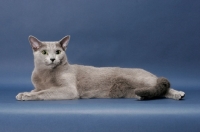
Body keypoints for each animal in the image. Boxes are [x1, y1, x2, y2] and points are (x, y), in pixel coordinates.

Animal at [15, 35, 184, 100]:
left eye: (58, 52)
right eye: (44, 52)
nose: (52, 58)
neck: (45, 74)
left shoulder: (68, 89)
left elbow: (44, 92)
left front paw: (26, 95)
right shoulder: (38, 85)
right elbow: (37, 90)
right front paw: (25, 92)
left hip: (142, 79)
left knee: (164, 86)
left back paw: (179, 93)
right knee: (159, 91)